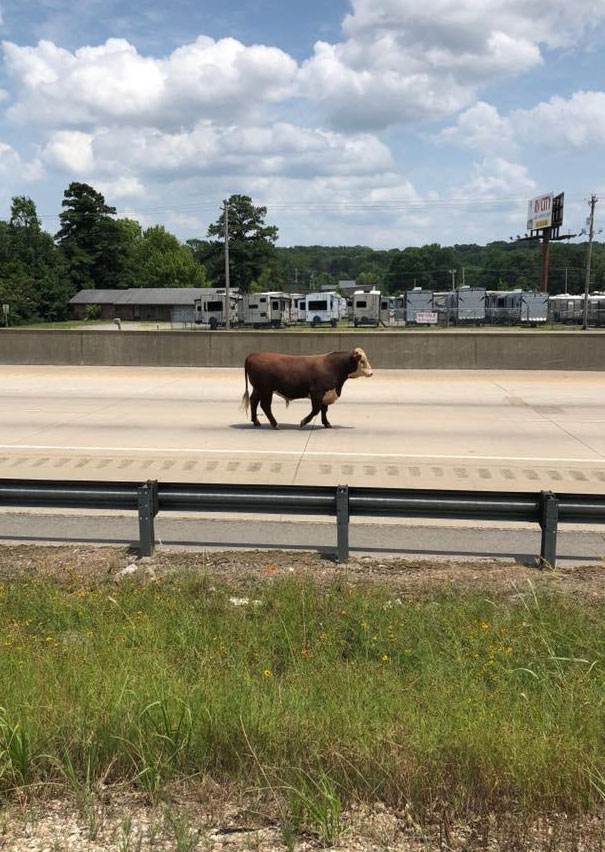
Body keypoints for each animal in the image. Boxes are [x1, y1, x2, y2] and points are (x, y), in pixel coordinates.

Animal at [241, 348, 373, 429]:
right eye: (362, 360)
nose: (371, 373)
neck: (333, 366)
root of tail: (254, 354)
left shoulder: (326, 394)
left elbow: (324, 410)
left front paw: (326, 423)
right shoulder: (317, 393)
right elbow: (316, 410)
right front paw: (303, 421)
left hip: (258, 388)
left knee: (254, 401)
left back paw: (256, 421)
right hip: (266, 390)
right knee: (265, 406)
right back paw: (275, 424)